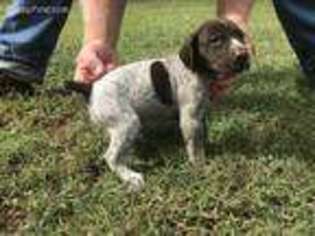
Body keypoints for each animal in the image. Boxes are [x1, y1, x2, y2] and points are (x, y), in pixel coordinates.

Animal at [87, 18, 251, 192]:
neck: (198, 71)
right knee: (110, 157)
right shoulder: (189, 119)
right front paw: (200, 166)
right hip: (127, 122)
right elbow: (195, 146)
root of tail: (91, 87)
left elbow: (202, 135)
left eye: (240, 36)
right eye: (215, 39)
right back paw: (131, 176)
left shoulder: (199, 114)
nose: (243, 55)